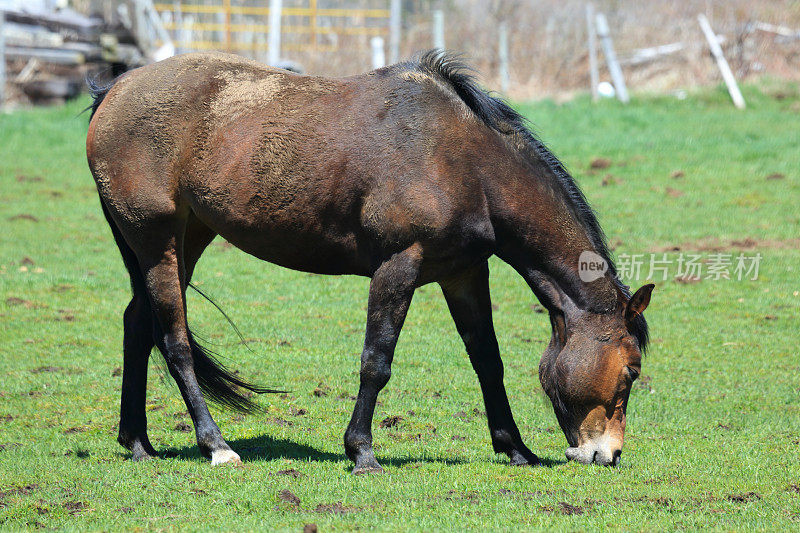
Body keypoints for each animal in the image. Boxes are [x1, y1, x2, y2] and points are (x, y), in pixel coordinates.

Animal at [86, 52, 648, 472]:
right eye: (632, 371)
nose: (610, 454)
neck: (465, 159)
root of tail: (114, 91)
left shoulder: (464, 273)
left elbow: (488, 360)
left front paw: (515, 448)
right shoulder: (398, 267)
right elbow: (376, 361)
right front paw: (362, 451)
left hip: (188, 238)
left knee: (137, 324)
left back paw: (137, 442)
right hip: (157, 241)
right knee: (174, 340)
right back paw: (216, 445)